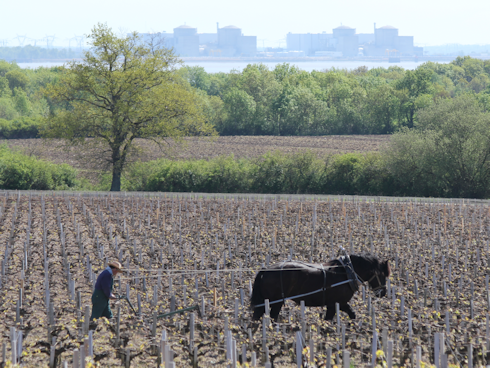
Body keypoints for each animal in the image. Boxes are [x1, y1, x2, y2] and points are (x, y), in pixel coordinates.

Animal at [251, 254, 388, 320]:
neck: (346, 272)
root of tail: (266, 270)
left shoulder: (341, 303)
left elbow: (352, 314)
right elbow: (328, 320)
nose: (383, 293)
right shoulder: (333, 304)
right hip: (276, 301)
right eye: (382, 274)